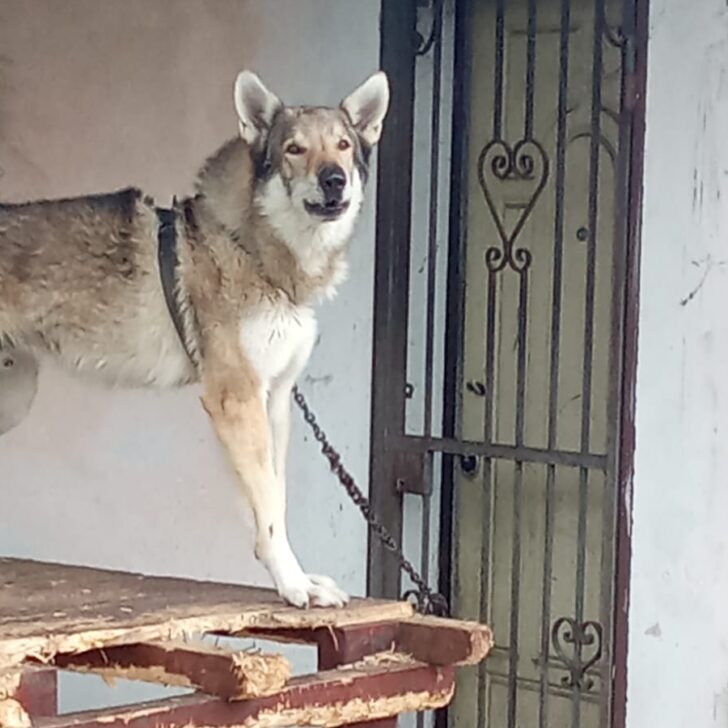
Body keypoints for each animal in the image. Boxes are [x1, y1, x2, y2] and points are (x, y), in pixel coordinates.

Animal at [0, 69, 390, 608]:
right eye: (294, 149)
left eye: (344, 146)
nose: (334, 179)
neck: (254, 251)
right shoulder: (236, 398)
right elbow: (269, 509)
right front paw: (293, 585)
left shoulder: (275, 399)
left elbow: (276, 502)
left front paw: (300, 579)